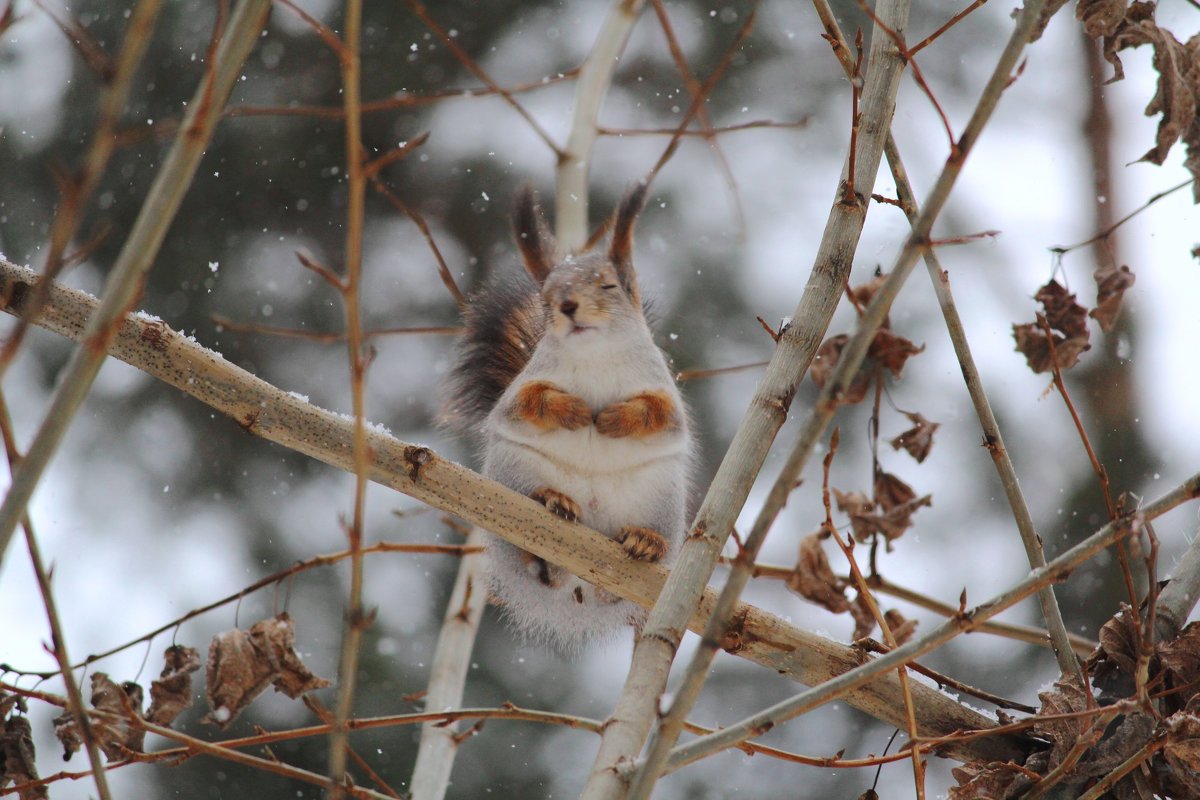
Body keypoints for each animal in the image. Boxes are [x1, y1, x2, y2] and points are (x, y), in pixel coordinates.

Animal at [446, 183, 696, 652]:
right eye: (545, 298)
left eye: (610, 285)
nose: (566, 305)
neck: (594, 354)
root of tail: (578, 583)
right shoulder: (521, 392)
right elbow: (528, 405)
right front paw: (575, 410)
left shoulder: (663, 394)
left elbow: (659, 417)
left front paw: (614, 418)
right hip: (514, 472)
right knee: (536, 558)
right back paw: (552, 504)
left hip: (662, 497)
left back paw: (645, 542)